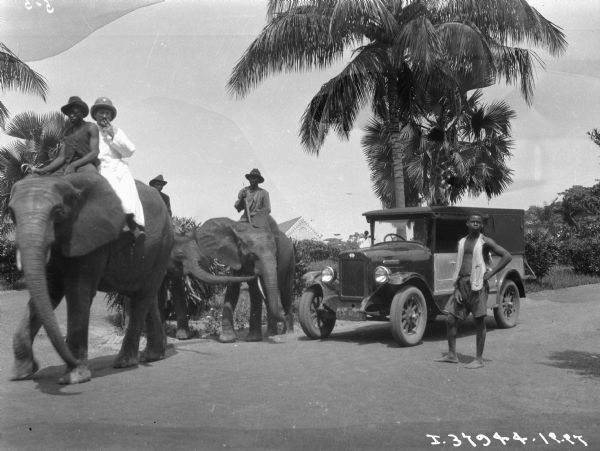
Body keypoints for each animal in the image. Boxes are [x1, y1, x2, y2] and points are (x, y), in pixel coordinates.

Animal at [8, 173, 172, 384]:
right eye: (11, 214)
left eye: (58, 212)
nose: (37, 364)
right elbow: (50, 292)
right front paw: (20, 374)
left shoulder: (91, 235)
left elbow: (78, 291)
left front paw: (73, 378)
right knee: (145, 295)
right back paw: (152, 356)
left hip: (163, 245)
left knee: (142, 297)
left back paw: (125, 362)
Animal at [166, 215, 296, 342]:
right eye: (252, 255)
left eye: (276, 254)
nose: (253, 274)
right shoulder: (234, 256)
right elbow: (233, 289)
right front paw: (227, 339)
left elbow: (255, 291)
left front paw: (252, 339)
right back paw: (272, 333)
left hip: (291, 258)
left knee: (285, 292)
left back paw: (287, 332)